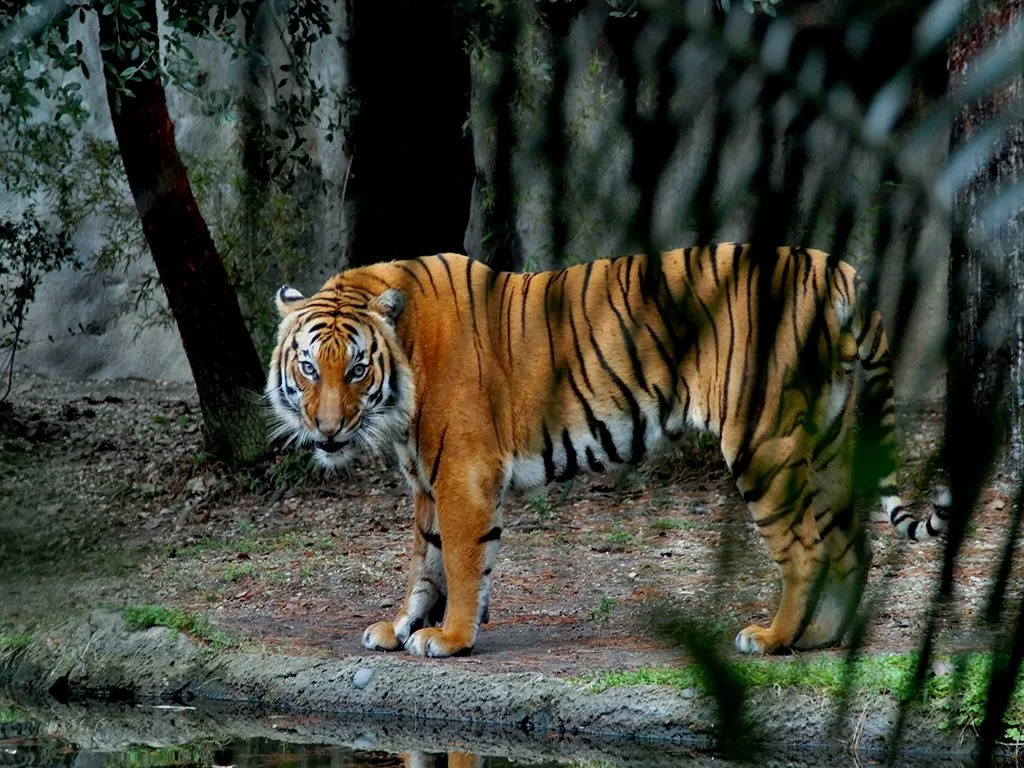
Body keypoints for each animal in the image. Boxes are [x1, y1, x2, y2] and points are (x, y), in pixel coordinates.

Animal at [266, 243, 950, 658]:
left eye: (357, 370)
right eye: (308, 368)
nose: (327, 430)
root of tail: (833, 266)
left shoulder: (462, 475)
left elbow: (460, 564)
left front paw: (451, 638)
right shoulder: (429, 484)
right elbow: (423, 566)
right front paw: (401, 627)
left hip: (764, 442)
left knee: (806, 549)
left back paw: (772, 637)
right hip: (828, 440)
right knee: (850, 543)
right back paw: (820, 638)